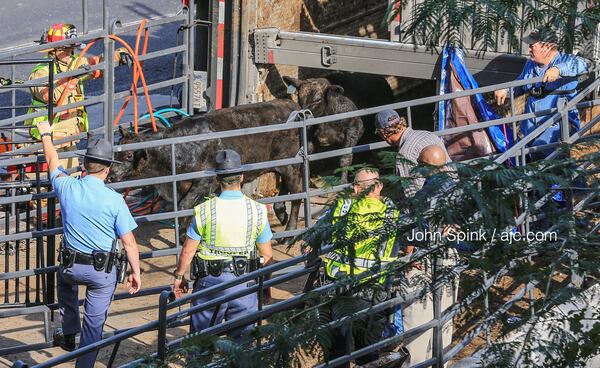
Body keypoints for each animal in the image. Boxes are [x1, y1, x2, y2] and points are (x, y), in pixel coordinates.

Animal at [107, 98, 302, 233]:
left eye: (129, 155)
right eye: (116, 153)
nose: (110, 176)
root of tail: (293, 106)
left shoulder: (204, 182)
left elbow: (184, 207)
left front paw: (183, 234)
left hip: (290, 165)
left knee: (297, 192)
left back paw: (290, 230)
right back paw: (281, 213)